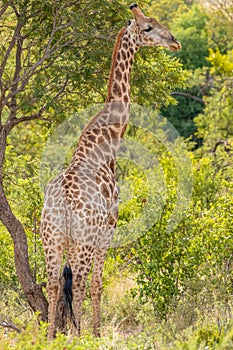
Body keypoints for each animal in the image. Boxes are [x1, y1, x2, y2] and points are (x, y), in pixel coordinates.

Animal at [40, 4, 182, 340]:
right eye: (147, 28)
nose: (174, 41)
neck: (106, 143)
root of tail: (62, 204)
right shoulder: (109, 229)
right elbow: (97, 284)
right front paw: (96, 333)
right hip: (82, 240)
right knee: (78, 283)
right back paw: (77, 336)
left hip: (50, 238)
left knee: (53, 284)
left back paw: (51, 337)